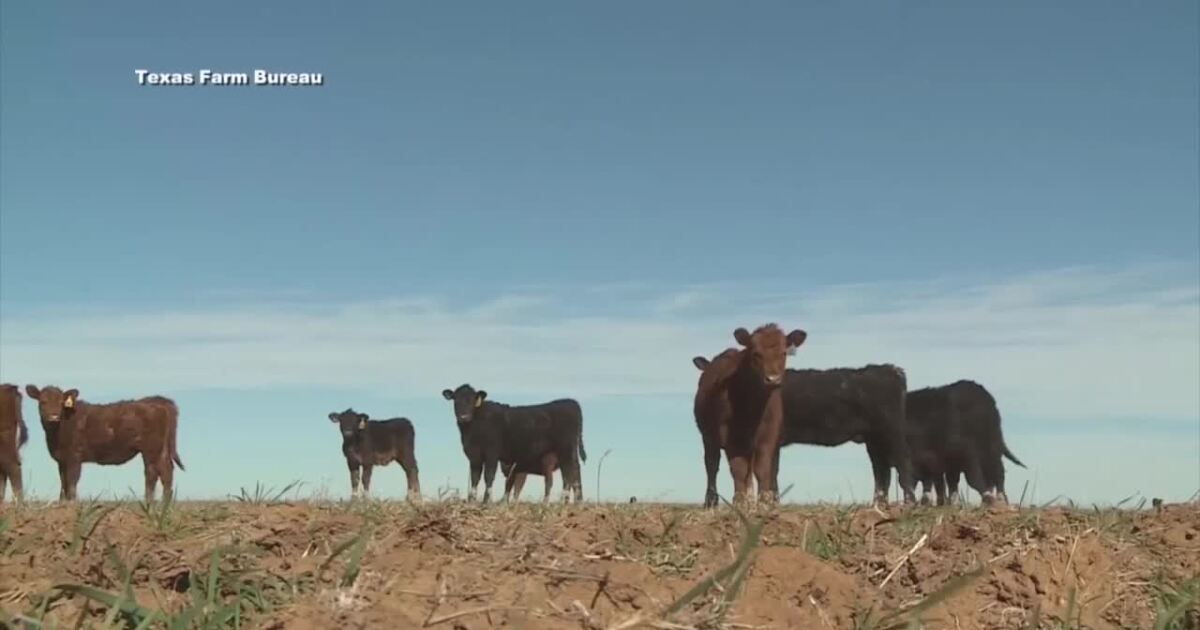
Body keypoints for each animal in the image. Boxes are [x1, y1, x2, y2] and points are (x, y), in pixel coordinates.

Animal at [24, 385, 184, 502]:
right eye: (43, 401)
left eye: (61, 403)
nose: (53, 417)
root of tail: (155, 400)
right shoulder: (61, 459)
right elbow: (63, 482)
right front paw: (62, 502)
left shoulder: (74, 456)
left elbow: (71, 481)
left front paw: (72, 503)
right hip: (161, 449)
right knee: (167, 471)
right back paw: (165, 503)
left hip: (150, 449)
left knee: (152, 472)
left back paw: (148, 502)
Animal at [442, 384, 586, 504]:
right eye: (456, 400)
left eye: (472, 400)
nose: (464, 417)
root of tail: (571, 402)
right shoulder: (474, 456)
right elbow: (475, 478)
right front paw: (471, 501)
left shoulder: (492, 454)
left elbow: (489, 476)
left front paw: (486, 501)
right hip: (568, 452)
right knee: (574, 472)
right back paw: (576, 502)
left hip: (565, 450)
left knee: (569, 473)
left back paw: (563, 501)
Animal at [691, 324, 807, 506]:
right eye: (756, 354)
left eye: (783, 353)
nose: (772, 379)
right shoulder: (729, 436)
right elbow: (738, 469)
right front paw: (739, 501)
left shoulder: (768, 434)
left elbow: (763, 468)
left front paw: (764, 501)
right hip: (708, 436)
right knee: (712, 464)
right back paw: (711, 500)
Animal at [692, 358, 916, 507]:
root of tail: (890, 369)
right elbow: (769, 472)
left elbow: (767, 471)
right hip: (874, 439)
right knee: (881, 471)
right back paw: (878, 506)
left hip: (891, 432)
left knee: (902, 464)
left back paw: (908, 503)